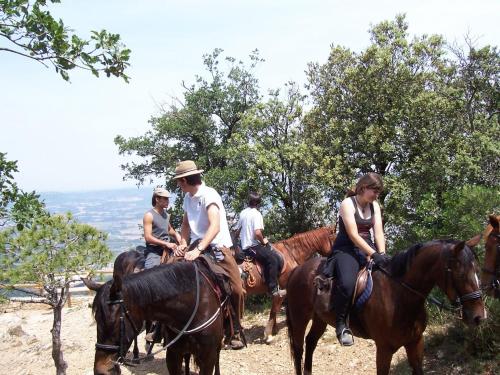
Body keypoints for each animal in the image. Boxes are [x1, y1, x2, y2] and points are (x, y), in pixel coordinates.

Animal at [288, 238, 486, 375]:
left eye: (477, 270)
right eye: (461, 273)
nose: (479, 316)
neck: (400, 295)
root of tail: (297, 270)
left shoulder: (415, 342)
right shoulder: (384, 349)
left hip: (319, 319)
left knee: (310, 342)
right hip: (299, 318)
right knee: (298, 349)